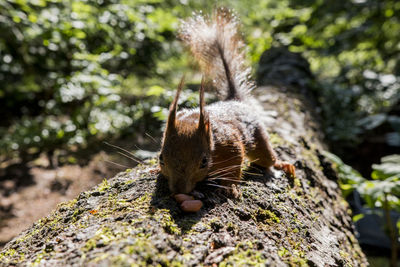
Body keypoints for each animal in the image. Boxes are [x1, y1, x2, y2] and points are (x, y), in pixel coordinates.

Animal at [159, 7, 294, 199]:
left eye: (204, 161)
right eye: (161, 159)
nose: (179, 190)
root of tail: (235, 101)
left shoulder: (231, 145)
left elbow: (234, 167)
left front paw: (229, 187)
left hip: (259, 139)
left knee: (267, 158)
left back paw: (282, 165)